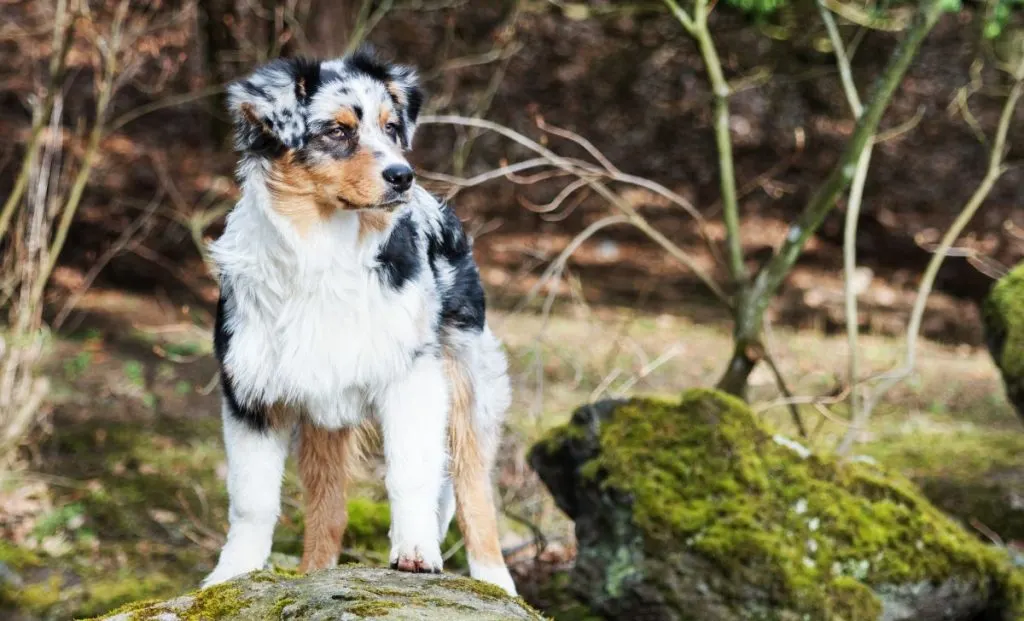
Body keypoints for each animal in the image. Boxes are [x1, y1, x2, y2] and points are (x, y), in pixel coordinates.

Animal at [199, 46, 516, 594]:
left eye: (391, 128)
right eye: (337, 131)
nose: (402, 176)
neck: (323, 248)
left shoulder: (413, 376)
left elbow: (411, 470)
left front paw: (415, 551)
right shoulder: (251, 392)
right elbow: (252, 499)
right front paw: (232, 574)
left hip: (465, 380)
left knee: (473, 491)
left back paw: (495, 581)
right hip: (324, 413)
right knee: (328, 511)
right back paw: (315, 573)